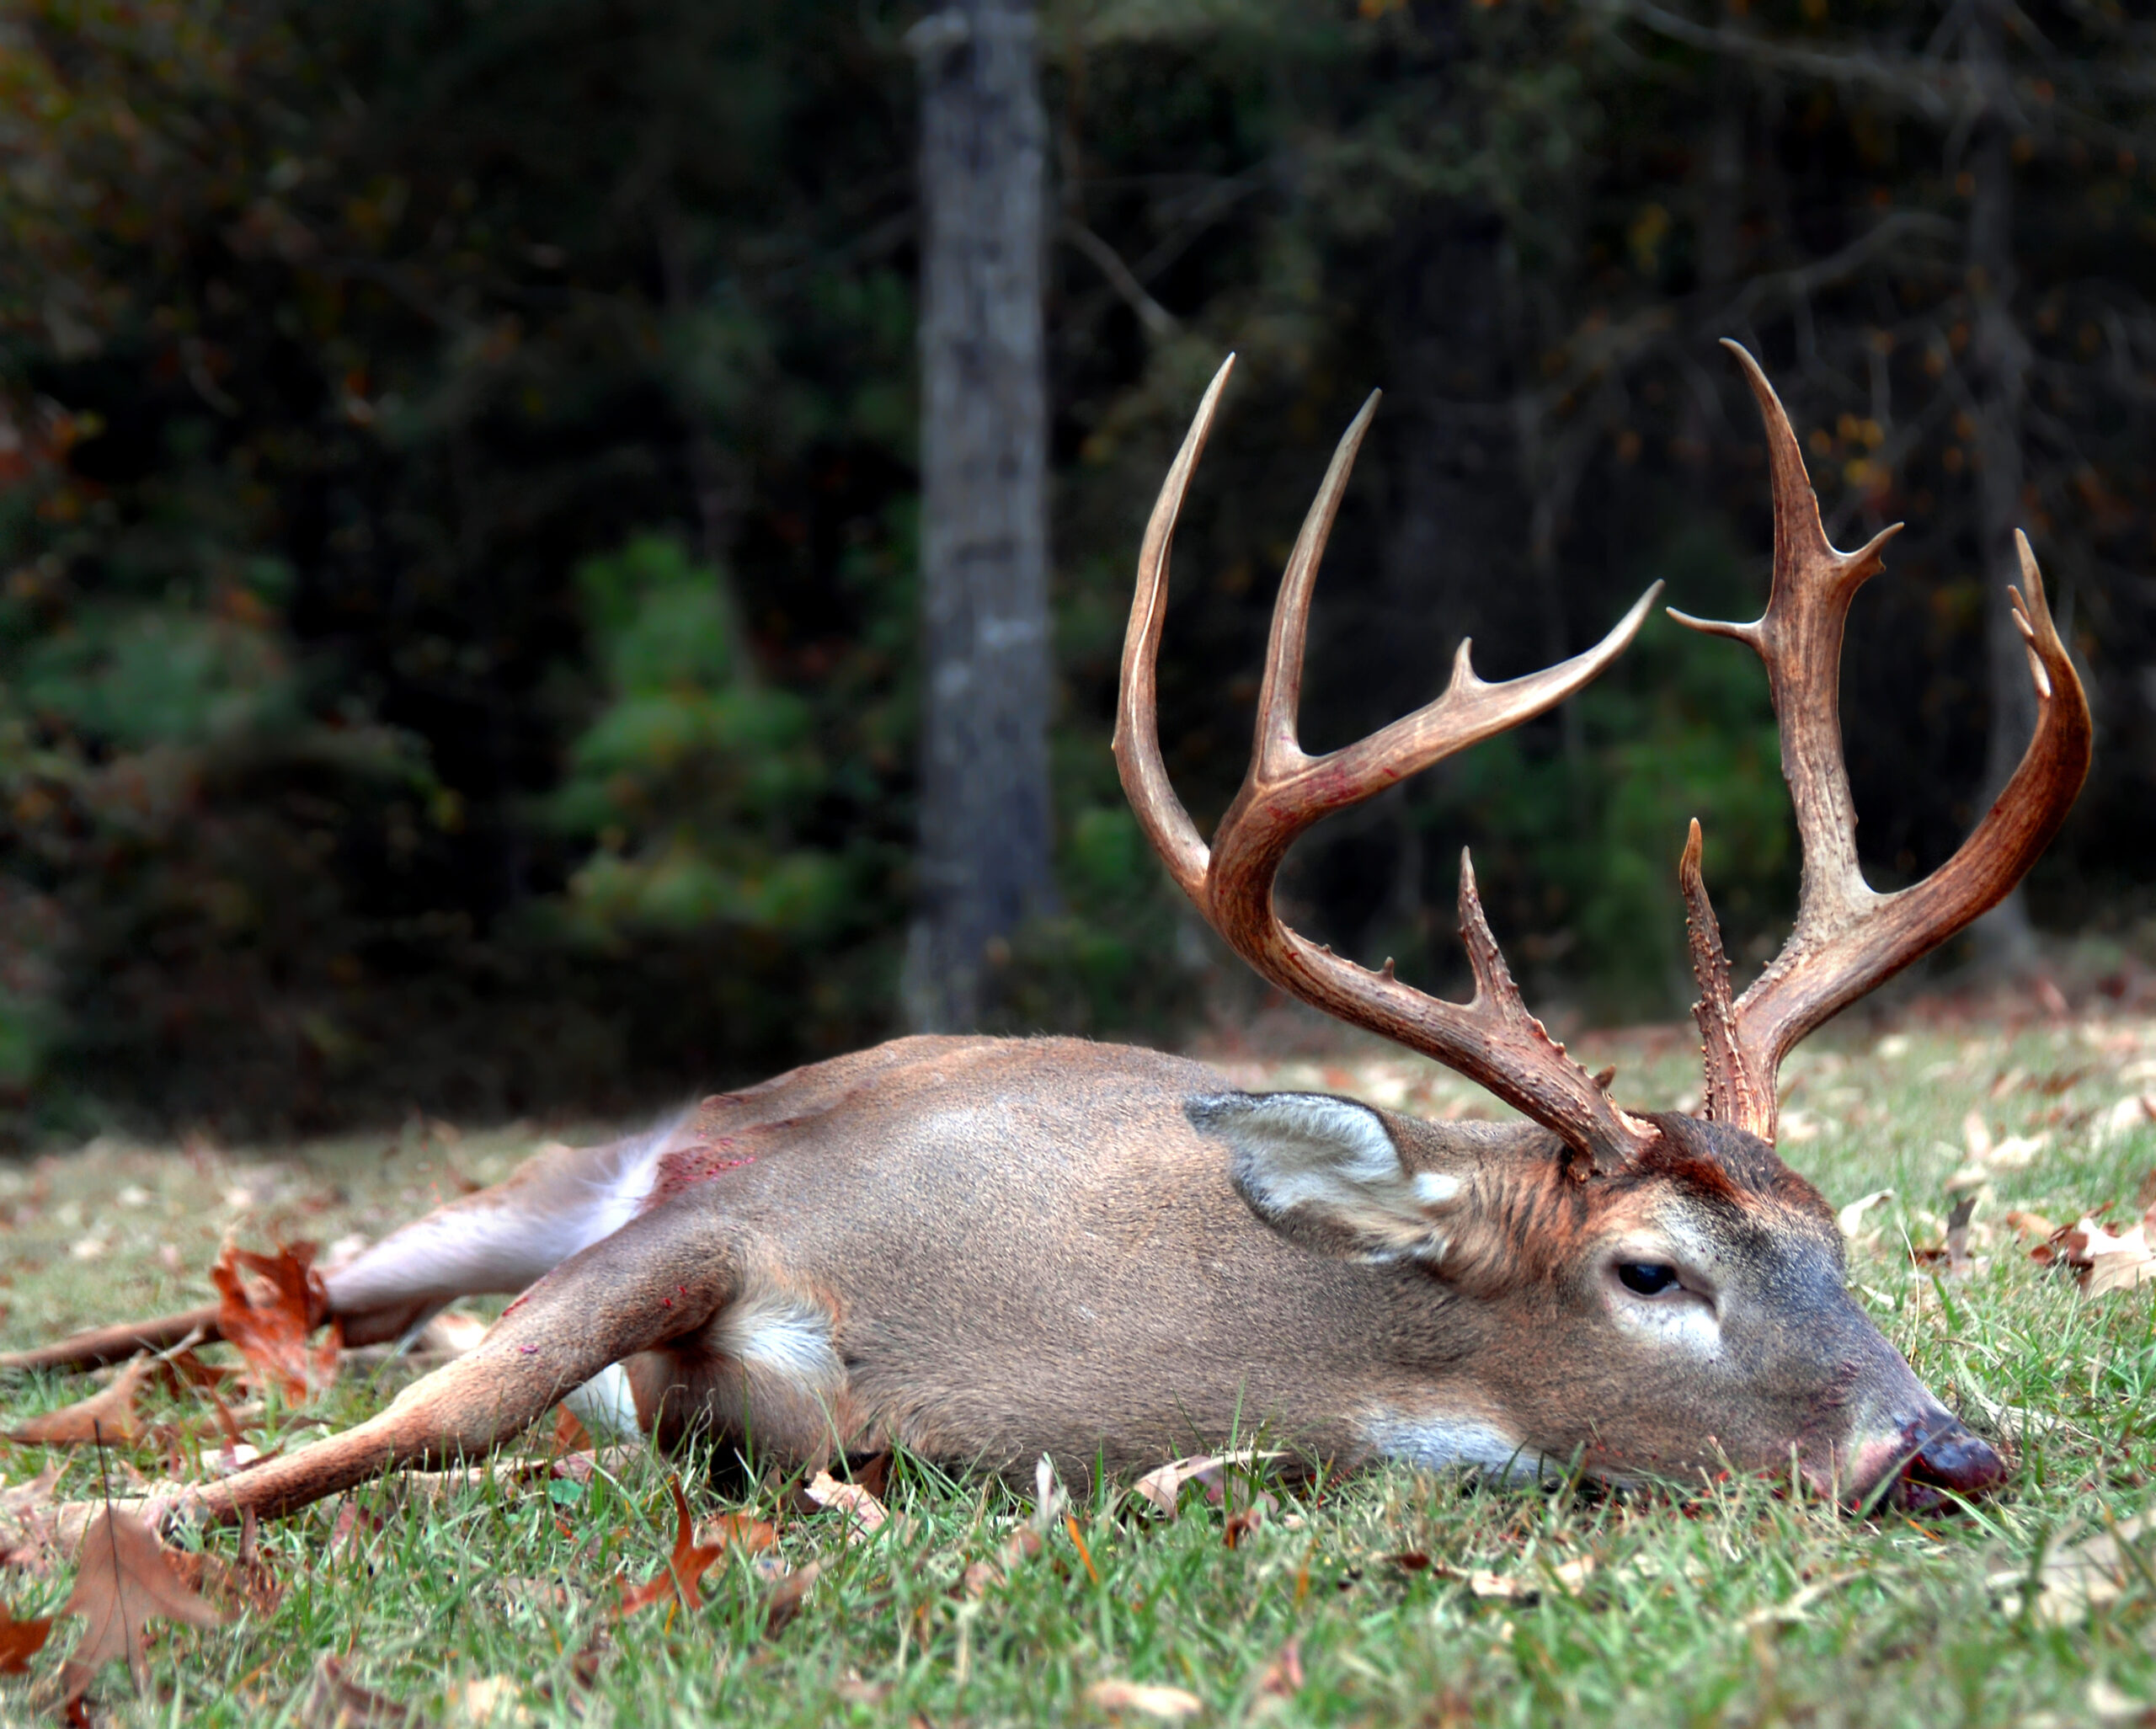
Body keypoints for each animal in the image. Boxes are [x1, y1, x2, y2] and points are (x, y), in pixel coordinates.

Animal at [4, 340, 2087, 1526]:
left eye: (1835, 1239)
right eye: (1649, 1272)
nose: (1944, 1448)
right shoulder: (722, 1217)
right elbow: (439, 1414)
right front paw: (81, 1537)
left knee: (299, 1318)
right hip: (570, 1164)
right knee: (302, 1305)